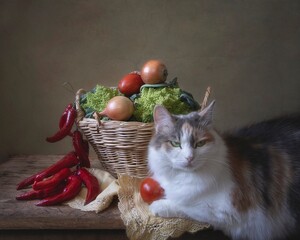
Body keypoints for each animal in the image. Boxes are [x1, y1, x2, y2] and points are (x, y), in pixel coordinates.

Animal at [148, 100, 300, 239]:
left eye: (200, 143)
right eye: (175, 143)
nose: (189, 157)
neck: (184, 176)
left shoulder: (228, 212)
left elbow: (186, 205)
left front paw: (158, 206)